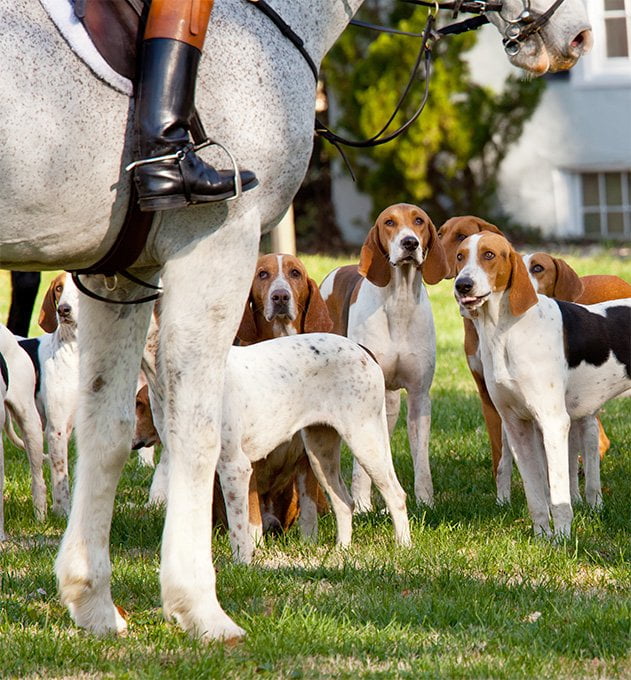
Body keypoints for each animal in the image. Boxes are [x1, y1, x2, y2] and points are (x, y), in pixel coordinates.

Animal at [0, 0, 592, 644]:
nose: (578, 37)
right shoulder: (208, 246)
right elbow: (185, 452)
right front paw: (189, 604)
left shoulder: (129, 277)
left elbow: (130, 446)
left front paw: (121, 602)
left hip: (351, 438)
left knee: (379, 493)